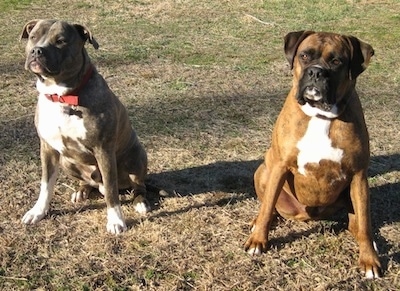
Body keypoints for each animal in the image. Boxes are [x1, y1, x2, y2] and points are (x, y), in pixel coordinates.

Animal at [19, 20, 150, 235]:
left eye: (61, 41)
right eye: (33, 37)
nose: (37, 50)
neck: (62, 96)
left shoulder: (103, 150)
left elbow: (112, 191)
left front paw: (115, 221)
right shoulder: (47, 148)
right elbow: (45, 184)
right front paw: (38, 211)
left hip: (137, 156)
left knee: (138, 185)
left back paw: (140, 202)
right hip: (66, 160)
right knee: (88, 181)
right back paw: (81, 191)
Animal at [244, 30, 382, 280]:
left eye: (337, 61)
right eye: (305, 56)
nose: (316, 71)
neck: (320, 115)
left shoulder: (359, 175)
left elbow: (365, 224)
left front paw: (369, 260)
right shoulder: (280, 166)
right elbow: (267, 206)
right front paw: (258, 241)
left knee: (357, 222)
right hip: (263, 170)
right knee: (270, 206)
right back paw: (257, 222)